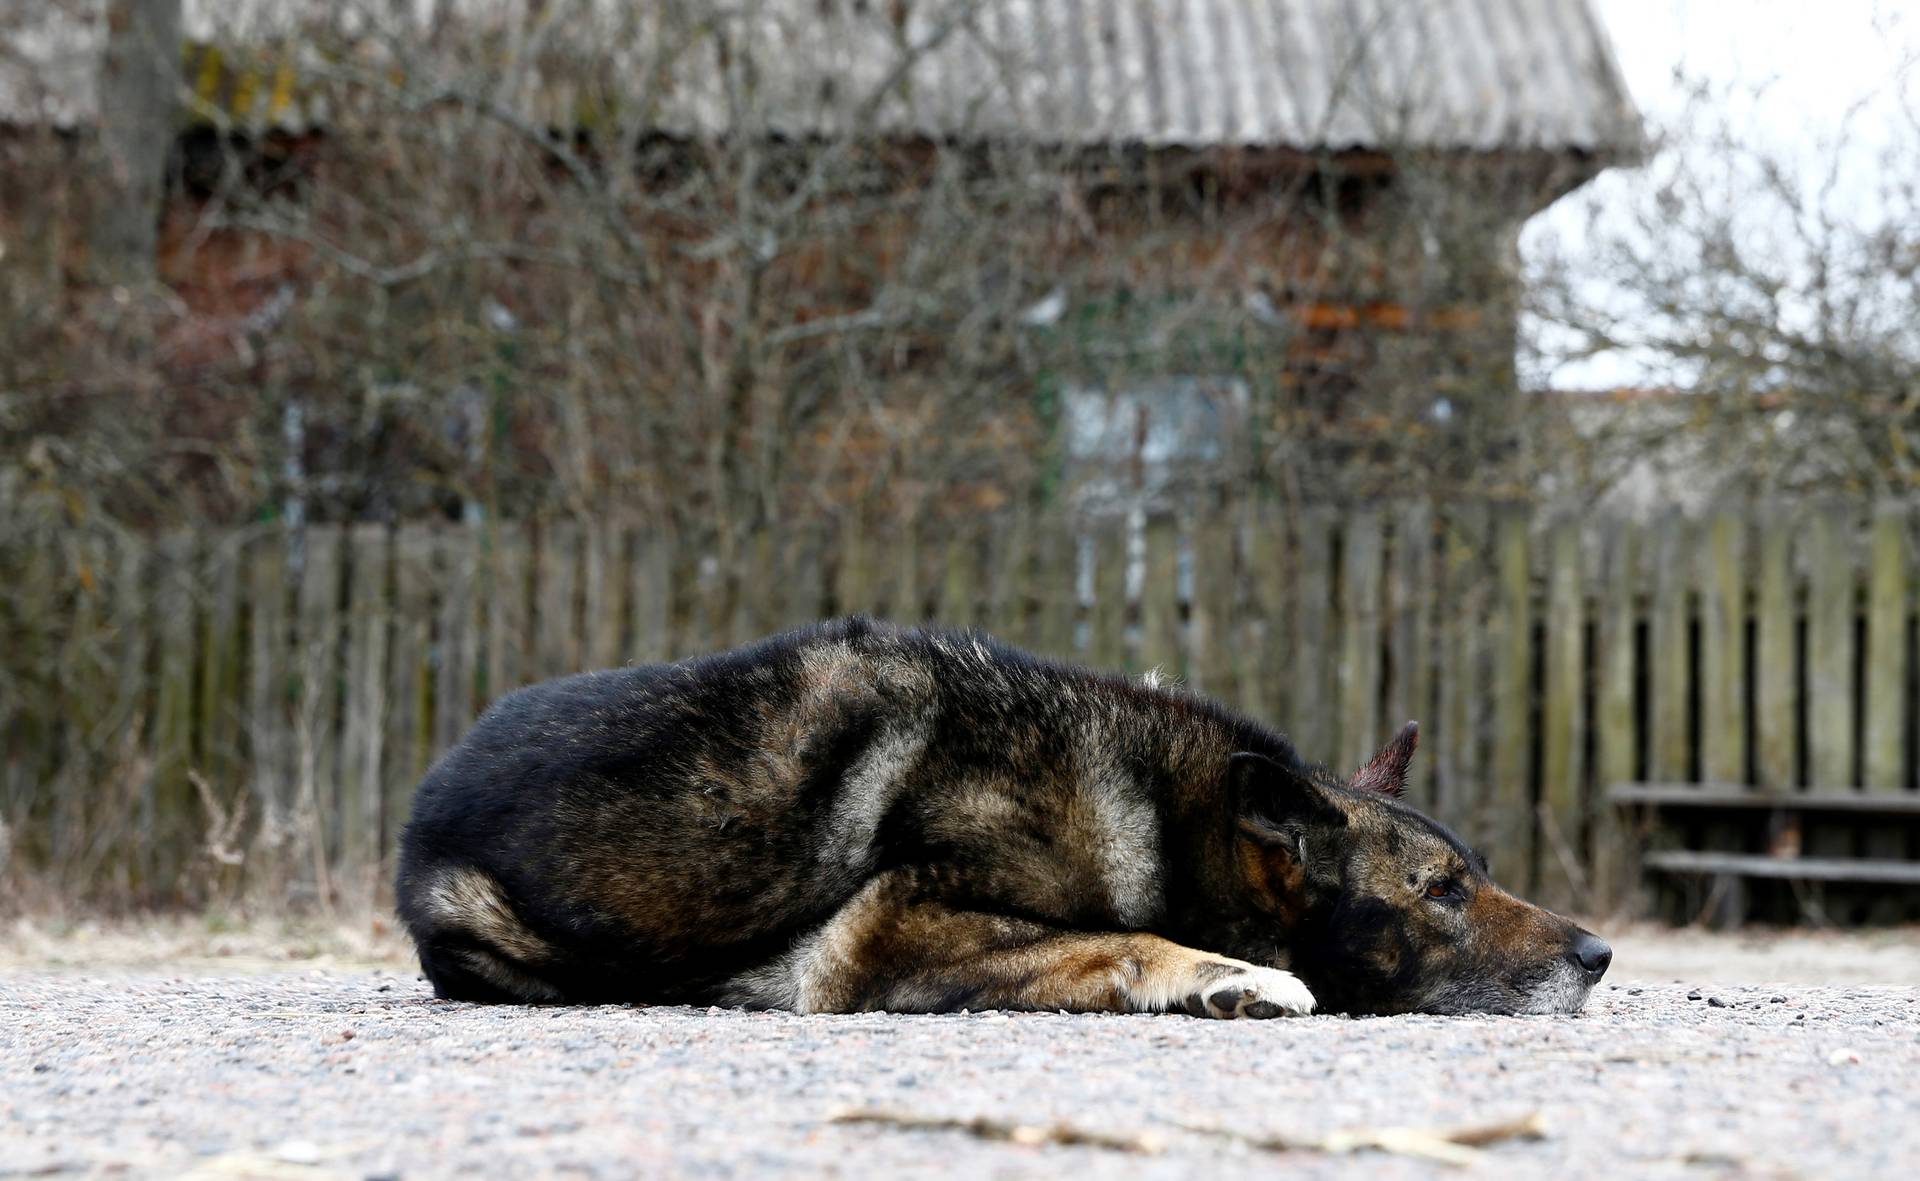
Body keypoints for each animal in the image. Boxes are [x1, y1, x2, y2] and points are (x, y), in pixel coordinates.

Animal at [397, 618, 1612, 1013]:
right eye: (1442, 892)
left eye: (1477, 873)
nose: (1601, 955)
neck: (1166, 817)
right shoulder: (891, 933)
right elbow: (1119, 936)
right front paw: (1228, 975)